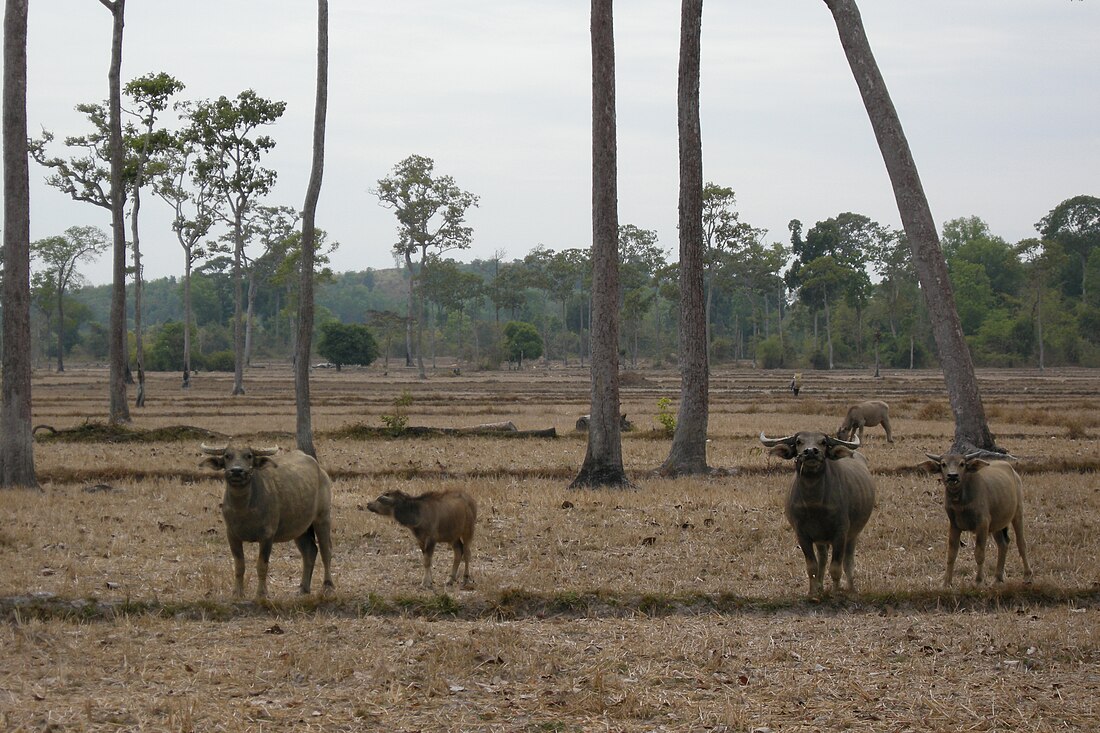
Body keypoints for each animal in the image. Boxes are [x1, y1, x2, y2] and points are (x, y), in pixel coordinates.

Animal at [198, 442, 334, 598]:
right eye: (227, 456)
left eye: (249, 456)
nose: (237, 471)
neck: (244, 509)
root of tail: (320, 470)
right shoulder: (232, 535)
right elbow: (239, 565)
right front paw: (237, 593)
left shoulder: (267, 536)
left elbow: (262, 565)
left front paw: (262, 593)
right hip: (300, 528)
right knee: (309, 551)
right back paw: (303, 589)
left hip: (322, 518)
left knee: (326, 551)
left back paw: (328, 586)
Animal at [761, 429, 880, 594]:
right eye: (798, 441)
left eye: (823, 442)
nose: (811, 451)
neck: (814, 504)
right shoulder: (802, 535)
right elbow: (812, 567)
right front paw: (812, 593)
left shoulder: (840, 533)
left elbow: (836, 568)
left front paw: (835, 592)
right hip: (821, 539)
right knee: (823, 558)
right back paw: (820, 587)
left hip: (853, 534)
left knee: (848, 561)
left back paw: (851, 588)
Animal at [919, 449, 1029, 585]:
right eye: (943, 464)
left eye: (962, 464)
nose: (952, 476)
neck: (961, 502)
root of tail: (1014, 473)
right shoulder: (954, 525)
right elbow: (951, 554)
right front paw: (946, 582)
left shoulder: (982, 524)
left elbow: (979, 553)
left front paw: (978, 581)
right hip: (997, 524)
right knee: (1003, 544)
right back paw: (997, 578)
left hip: (1018, 513)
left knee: (1021, 543)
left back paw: (1027, 575)